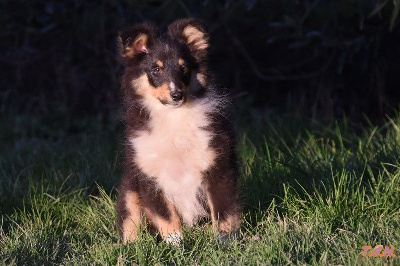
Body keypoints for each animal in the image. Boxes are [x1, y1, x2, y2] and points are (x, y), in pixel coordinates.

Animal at [116, 17, 241, 244]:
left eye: (184, 68)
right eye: (156, 70)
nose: (177, 95)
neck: (173, 116)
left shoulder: (217, 164)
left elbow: (223, 211)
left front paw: (225, 242)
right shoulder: (150, 175)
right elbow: (165, 215)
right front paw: (176, 244)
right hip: (130, 188)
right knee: (130, 219)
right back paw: (131, 246)